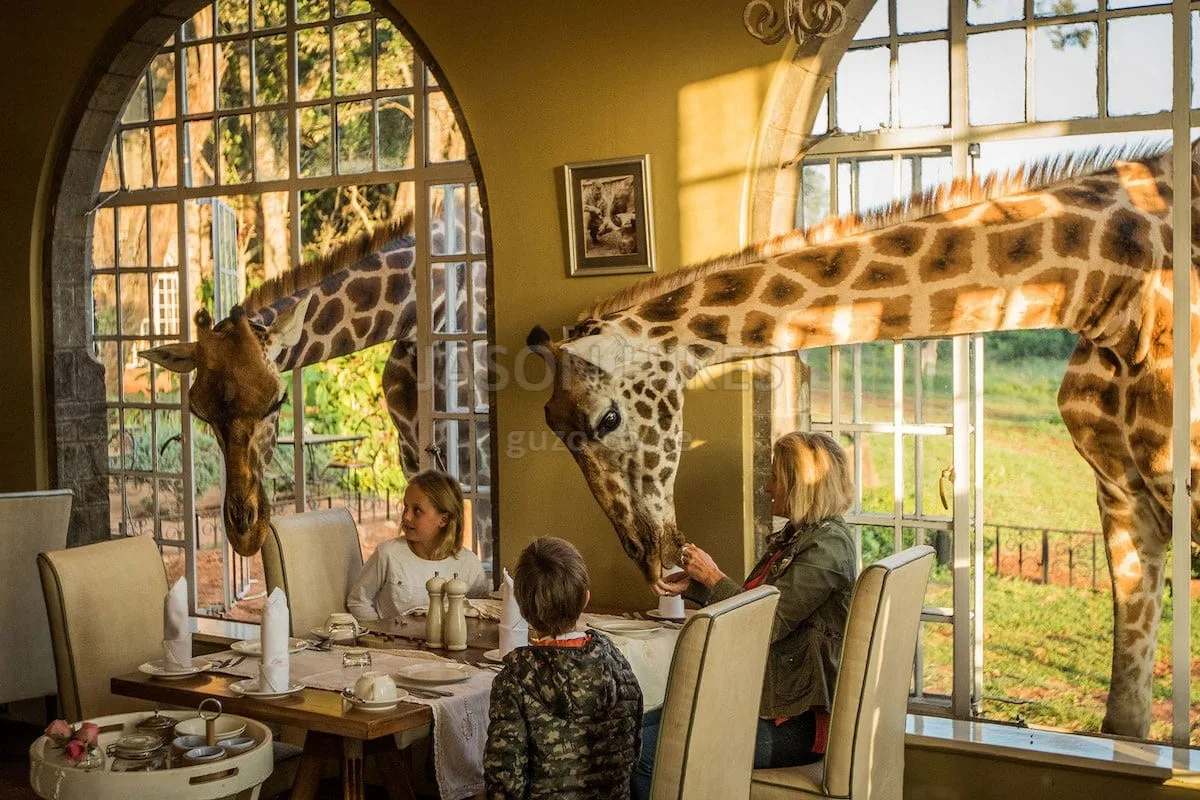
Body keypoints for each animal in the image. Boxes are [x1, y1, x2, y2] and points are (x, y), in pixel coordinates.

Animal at [141, 210, 485, 558]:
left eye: (278, 401)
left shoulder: (478, 469)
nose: (245, 532)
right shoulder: (412, 461)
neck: (420, 312)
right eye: (200, 413)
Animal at [528, 141, 1200, 738]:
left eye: (607, 419)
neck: (1107, 287)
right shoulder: (1123, 494)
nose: (654, 557)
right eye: (555, 432)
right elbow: (1127, 718)